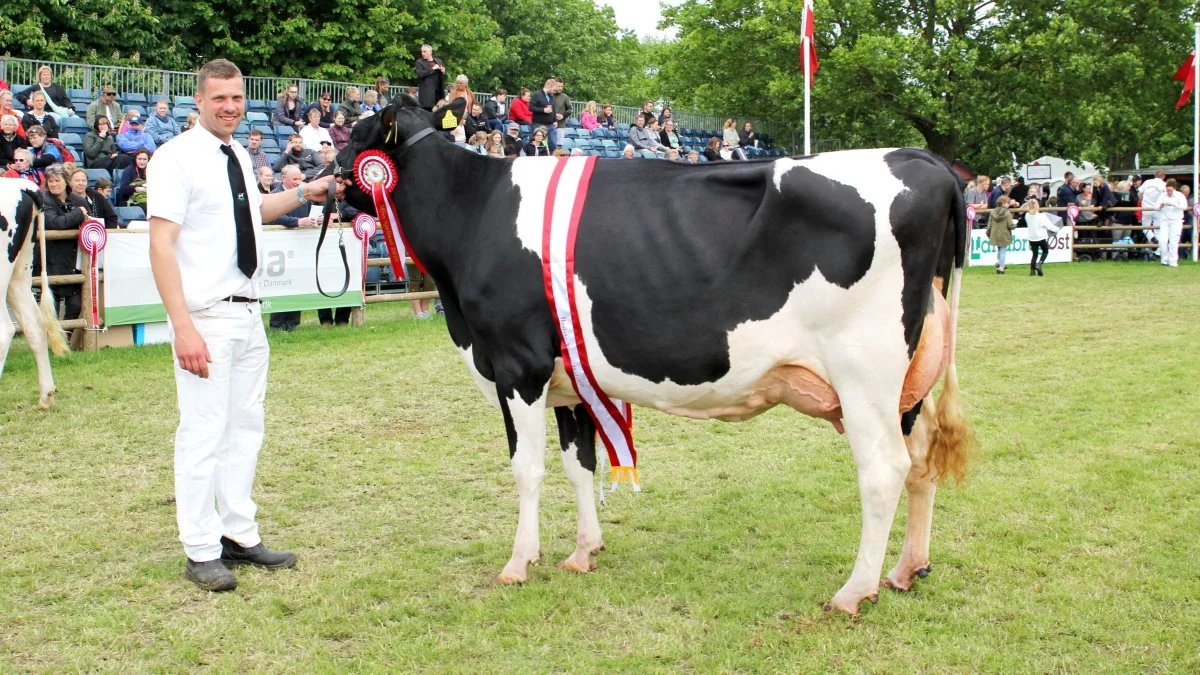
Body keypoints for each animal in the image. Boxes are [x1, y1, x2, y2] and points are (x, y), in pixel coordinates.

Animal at [328, 97, 974, 612]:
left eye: (356, 136)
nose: (326, 180)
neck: (472, 216)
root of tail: (925, 162)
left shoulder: (517, 364)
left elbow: (527, 469)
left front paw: (518, 563)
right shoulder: (569, 377)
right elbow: (579, 464)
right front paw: (583, 552)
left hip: (865, 372)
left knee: (883, 470)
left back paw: (853, 591)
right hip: (909, 380)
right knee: (921, 460)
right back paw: (906, 570)